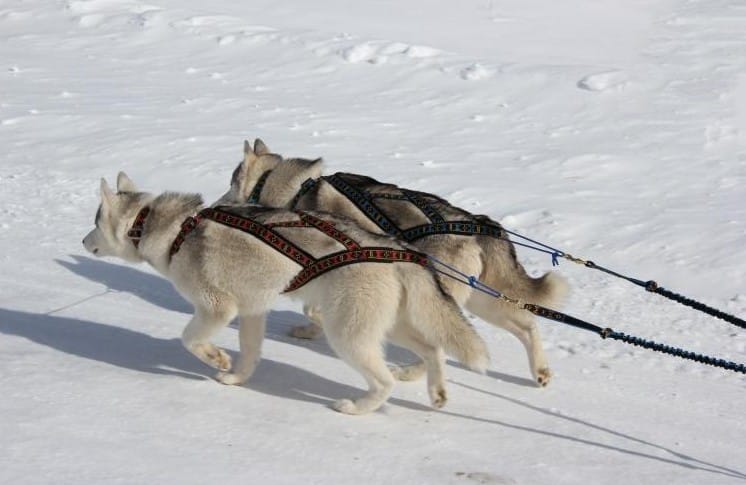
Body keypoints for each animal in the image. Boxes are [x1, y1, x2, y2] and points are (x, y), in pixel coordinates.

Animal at [83, 172, 488, 414]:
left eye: (94, 221)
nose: (83, 241)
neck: (172, 230)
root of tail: (396, 248)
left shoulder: (217, 308)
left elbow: (190, 339)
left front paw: (216, 358)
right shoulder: (251, 310)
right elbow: (249, 353)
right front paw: (236, 377)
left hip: (348, 334)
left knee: (385, 380)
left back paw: (357, 407)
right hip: (391, 325)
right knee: (434, 349)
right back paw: (437, 392)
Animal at [217, 140, 568, 386]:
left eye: (231, 182)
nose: (217, 201)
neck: (294, 191)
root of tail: (478, 223)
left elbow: (313, 306)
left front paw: (314, 323)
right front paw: (309, 329)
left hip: (436, 300)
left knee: (439, 345)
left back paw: (412, 373)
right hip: (481, 301)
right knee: (526, 325)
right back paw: (540, 371)